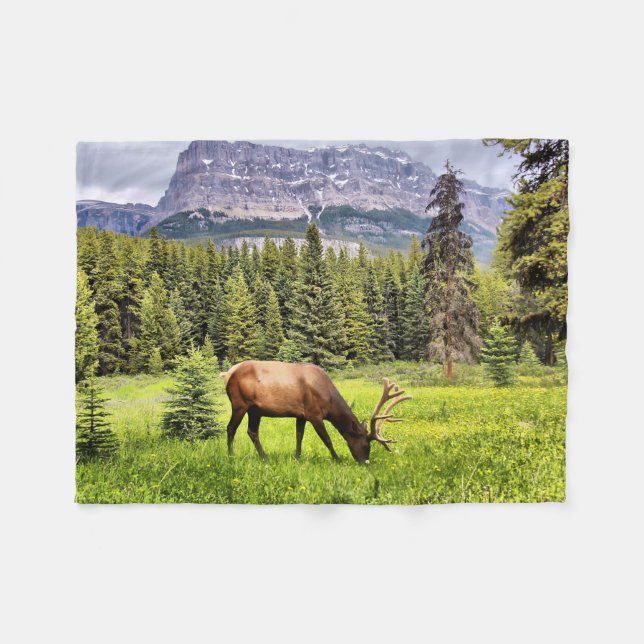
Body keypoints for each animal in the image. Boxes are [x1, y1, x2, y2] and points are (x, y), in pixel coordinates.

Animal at [221, 360, 411, 463]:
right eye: (366, 445)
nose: (365, 462)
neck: (328, 400)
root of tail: (228, 374)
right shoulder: (315, 414)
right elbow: (327, 439)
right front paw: (337, 459)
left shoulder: (301, 414)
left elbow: (299, 436)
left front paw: (297, 457)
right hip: (239, 403)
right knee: (231, 428)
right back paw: (231, 456)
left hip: (255, 410)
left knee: (252, 431)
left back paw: (264, 457)